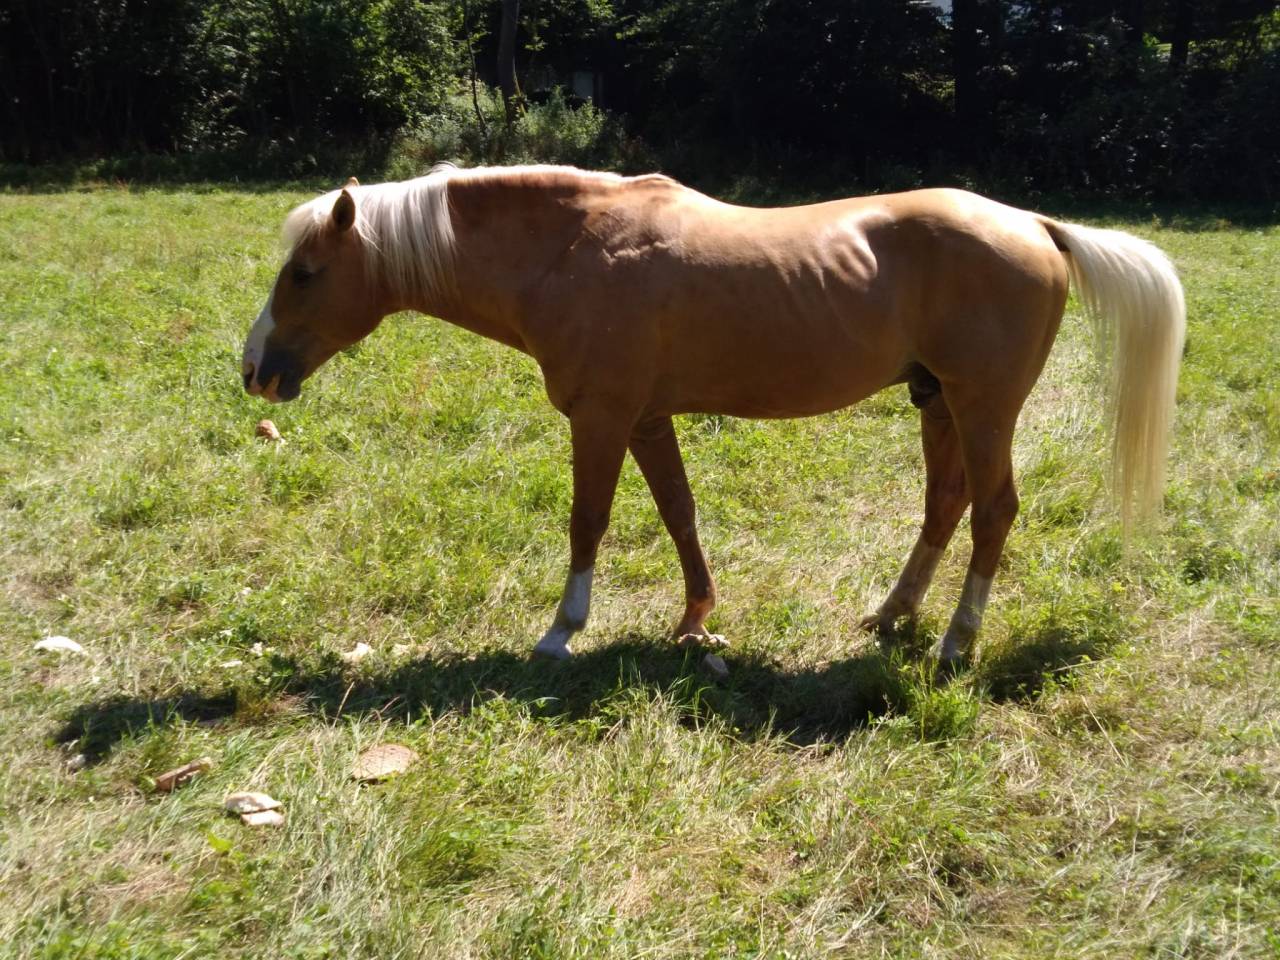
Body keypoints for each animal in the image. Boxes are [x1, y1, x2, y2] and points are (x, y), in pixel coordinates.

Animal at [242, 165, 1185, 665]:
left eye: (305, 273)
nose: (254, 371)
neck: (570, 249)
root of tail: (1034, 223)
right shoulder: (645, 418)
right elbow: (679, 514)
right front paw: (696, 619)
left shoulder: (601, 418)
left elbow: (588, 521)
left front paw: (561, 633)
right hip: (938, 403)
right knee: (944, 507)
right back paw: (891, 616)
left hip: (984, 407)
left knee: (993, 512)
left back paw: (956, 640)